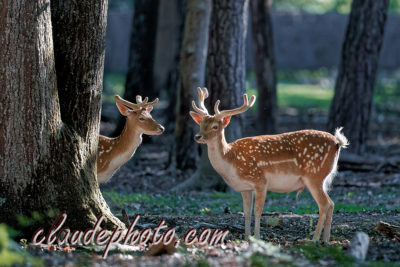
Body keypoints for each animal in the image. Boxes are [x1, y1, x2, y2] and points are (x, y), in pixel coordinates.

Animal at [189, 87, 348, 243]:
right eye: (200, 124)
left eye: (215, 126)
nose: (197, 136)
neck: (232, 162)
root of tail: (337, 142)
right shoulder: (245, 188)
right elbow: (246, 212)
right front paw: (246, 237)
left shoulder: (260, 180)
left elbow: (258, 211)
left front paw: (257, 237)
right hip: (322, 178)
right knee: (331, 204)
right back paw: (325, 240)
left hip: (314, 175)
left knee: (325, 204)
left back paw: (313, 240)